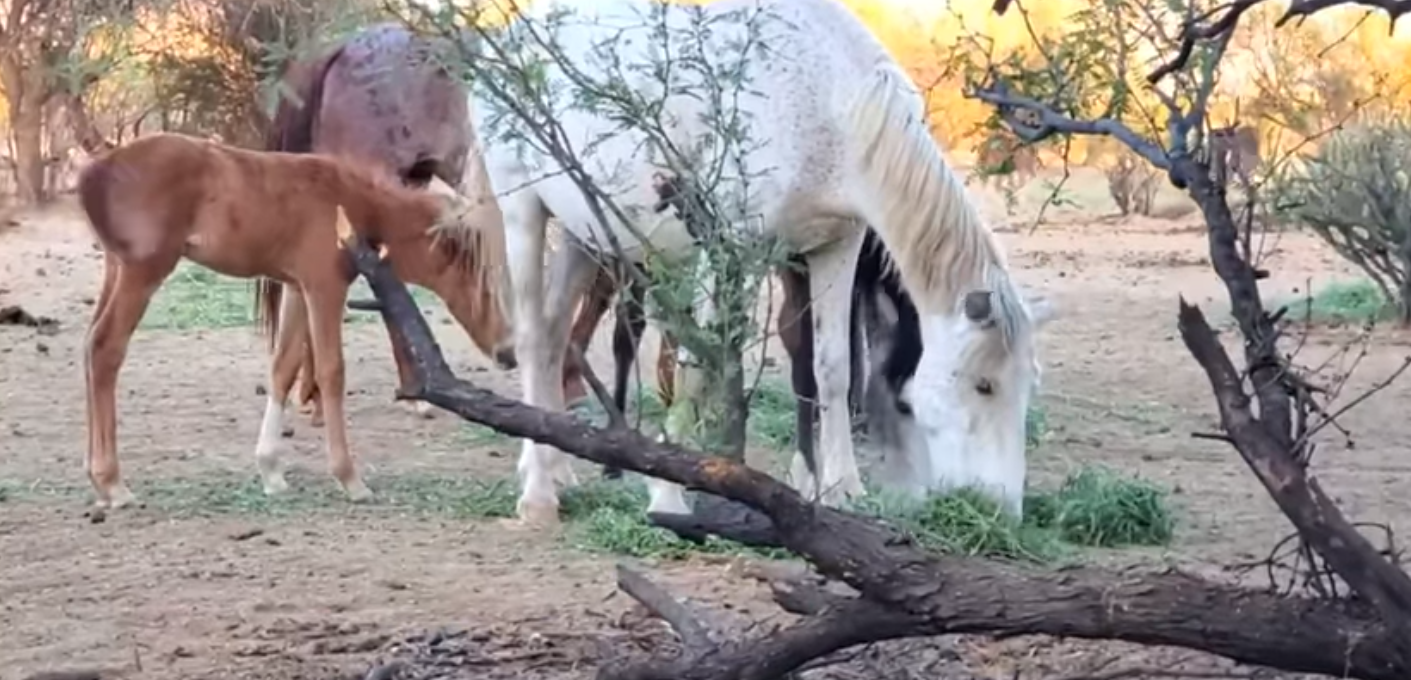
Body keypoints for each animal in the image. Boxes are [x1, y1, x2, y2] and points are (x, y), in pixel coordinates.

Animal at [75, 132, 492, 508]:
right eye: (474, 273)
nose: (501, 349)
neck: (348, 199)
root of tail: (96, 171)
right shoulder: (324, 287)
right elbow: (330, 370)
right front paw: (349, 479)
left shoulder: (296, 287)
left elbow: (284, 366)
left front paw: (272, 472)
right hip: (142, 272)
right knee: (106, 347)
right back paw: (113, 483)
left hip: (115, 268)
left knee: (90, 345)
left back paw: (98, 479)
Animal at [463, 0, 1055, 526]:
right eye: (984, 385)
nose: (1002, 511)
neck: (834, 104)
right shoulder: (723, 246)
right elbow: (695, 368)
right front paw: (669, 494)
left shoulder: (834, 248)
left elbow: (833, 369)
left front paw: (843, 489)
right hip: (524, 212)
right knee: (534, 339)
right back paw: (538, 494)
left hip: (582, 237)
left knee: (555, 336)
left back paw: (555, 468)